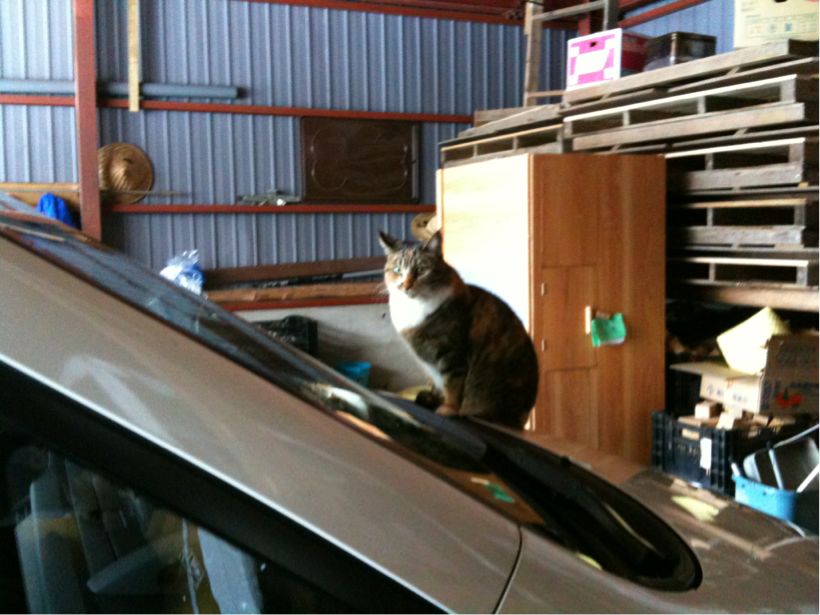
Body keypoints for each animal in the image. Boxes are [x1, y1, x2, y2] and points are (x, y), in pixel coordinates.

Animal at [378, 230, 538, 429]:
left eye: (421, 270)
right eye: (397, 270)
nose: (405, 285)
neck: (414, 308)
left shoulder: (452, 354)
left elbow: (454, 384)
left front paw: (448, 409)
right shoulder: (432, 366)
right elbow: (439, 385)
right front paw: (433, 399)